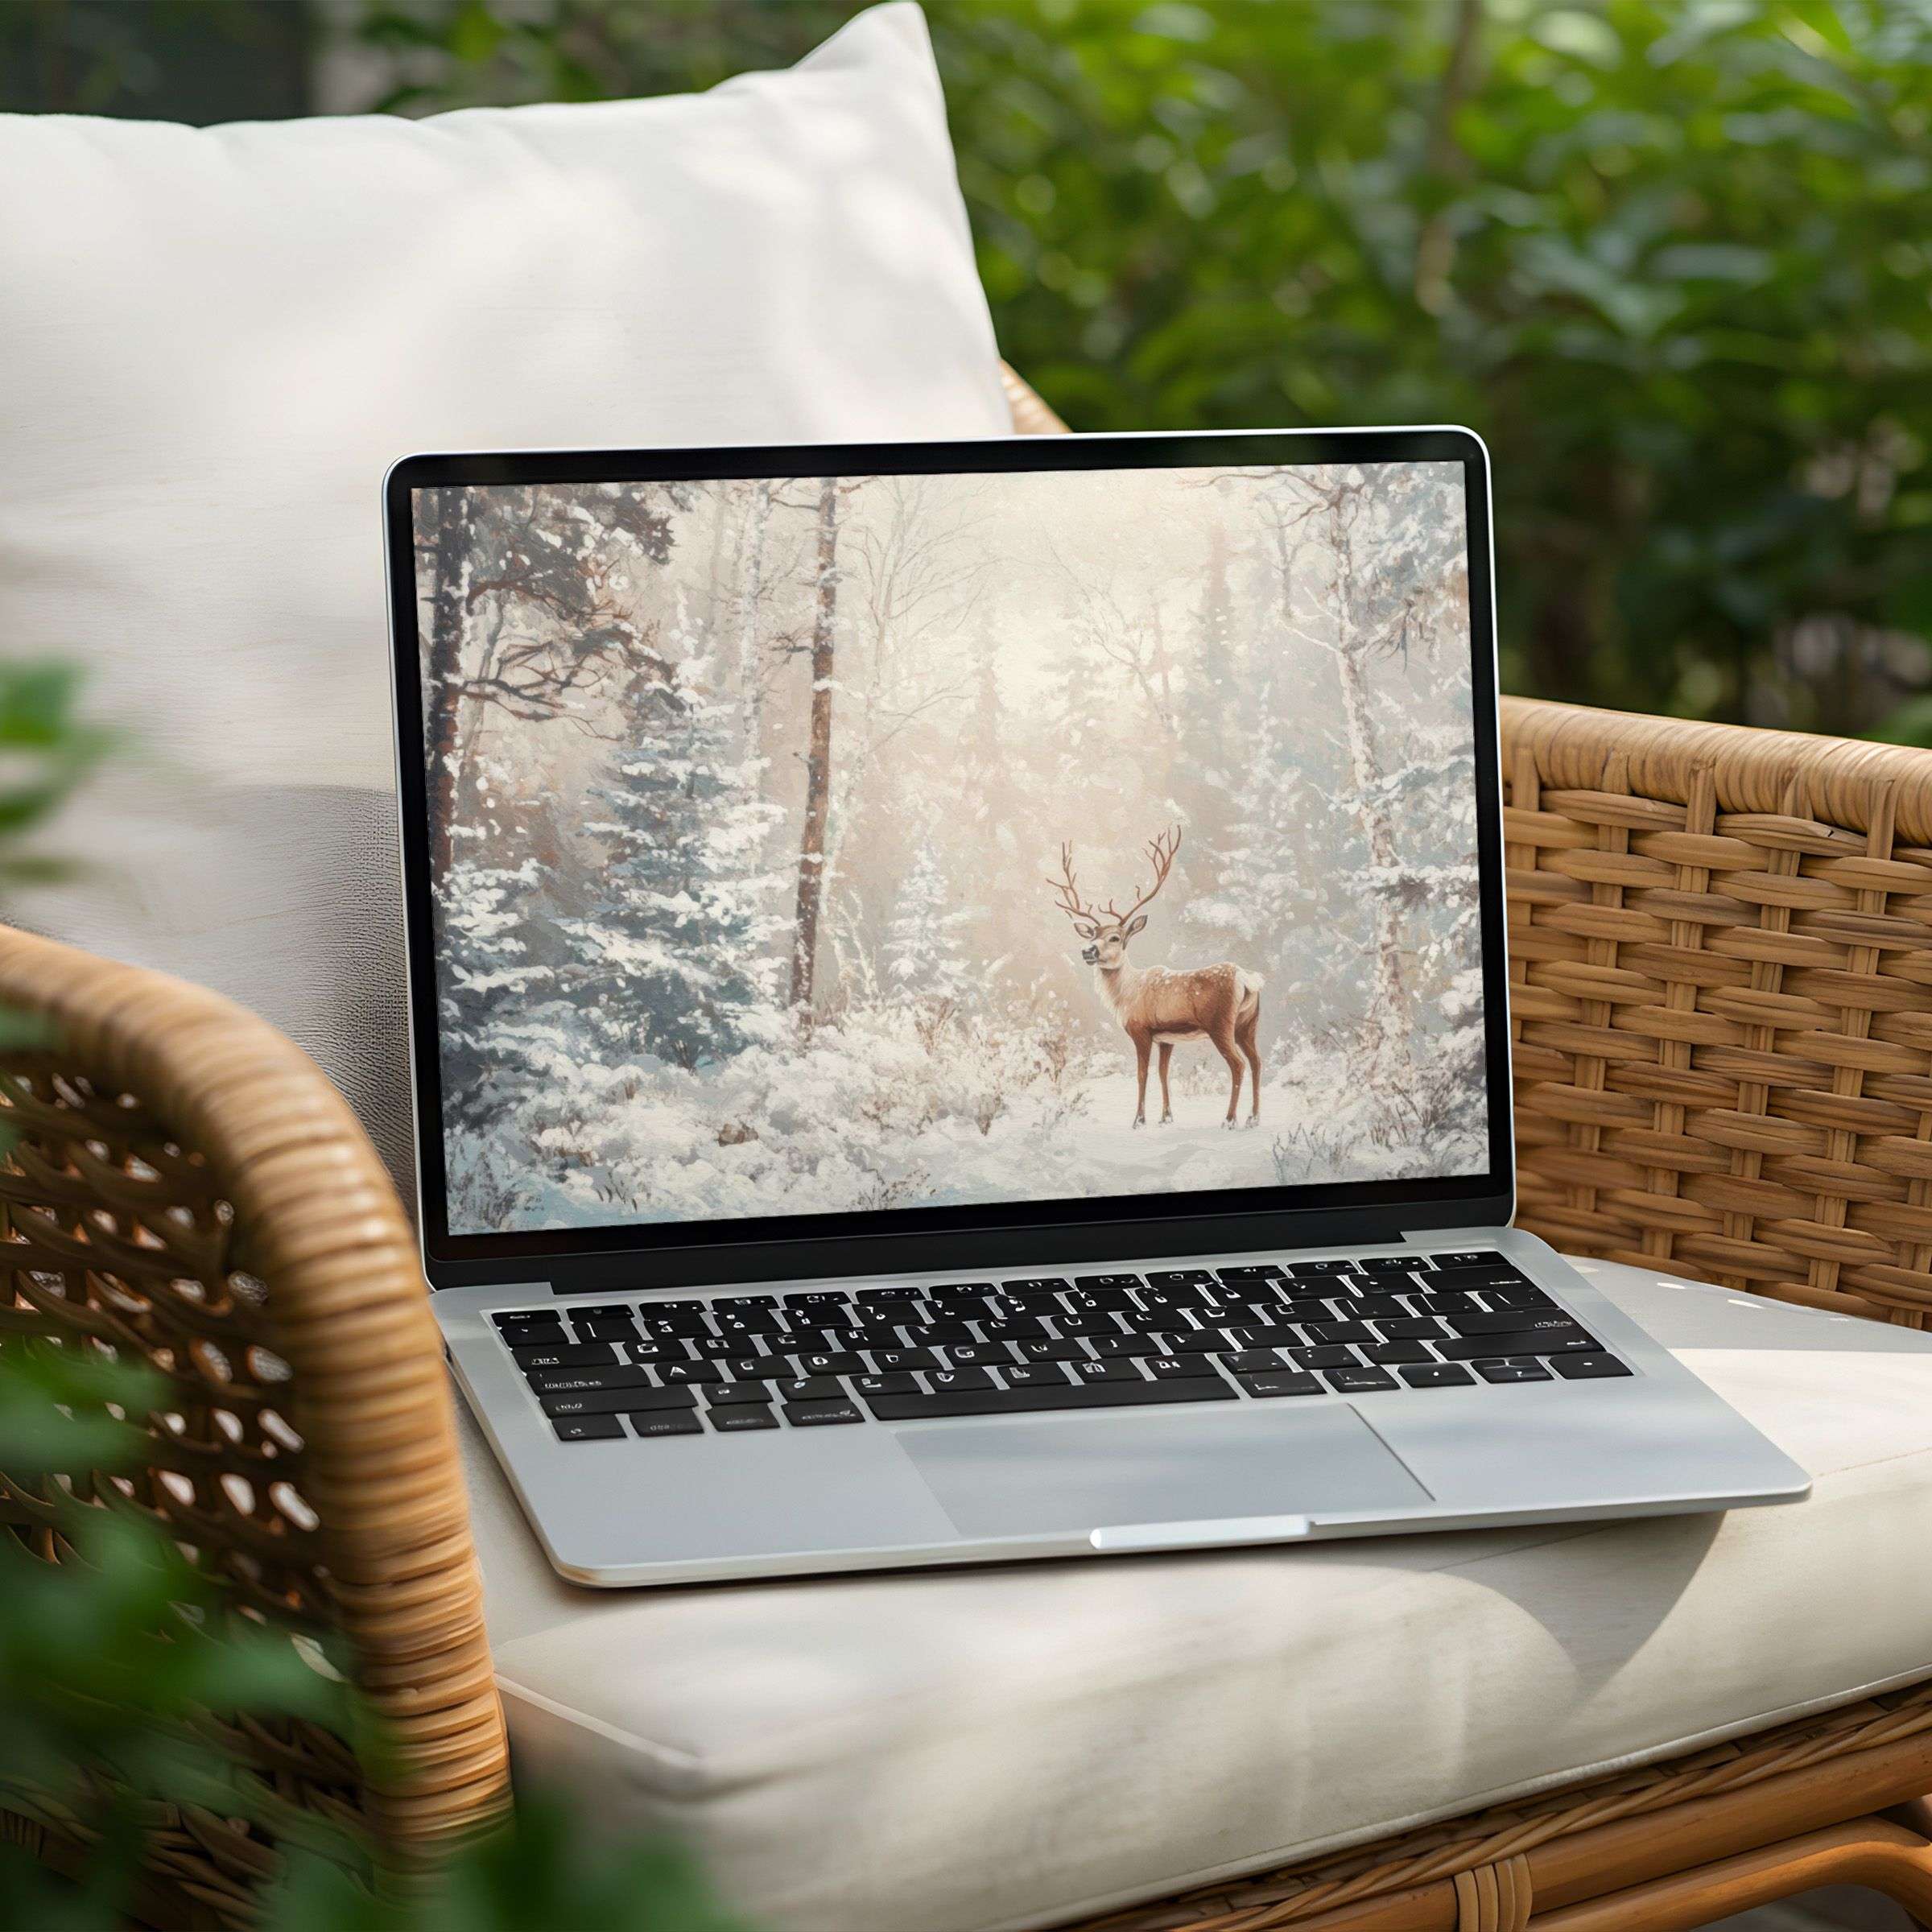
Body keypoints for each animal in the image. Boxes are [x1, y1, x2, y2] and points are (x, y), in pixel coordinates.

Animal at [1047, 825, 1264, 1130]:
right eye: (1093, 935)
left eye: (1115, 937)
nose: (1087, 951)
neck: (1126, 995)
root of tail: (1248, 980)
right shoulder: (1166, 1038)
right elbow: (1163, 1073)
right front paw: (1166, 1117)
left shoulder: (1141, 1030)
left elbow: (1142, 1075)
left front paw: (1139, 1120)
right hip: (1248, 1023)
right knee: (1257, 1062)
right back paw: (1253, 1118)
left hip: (1220, 1023)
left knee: (1238, 1064)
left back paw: (1230, 1119)